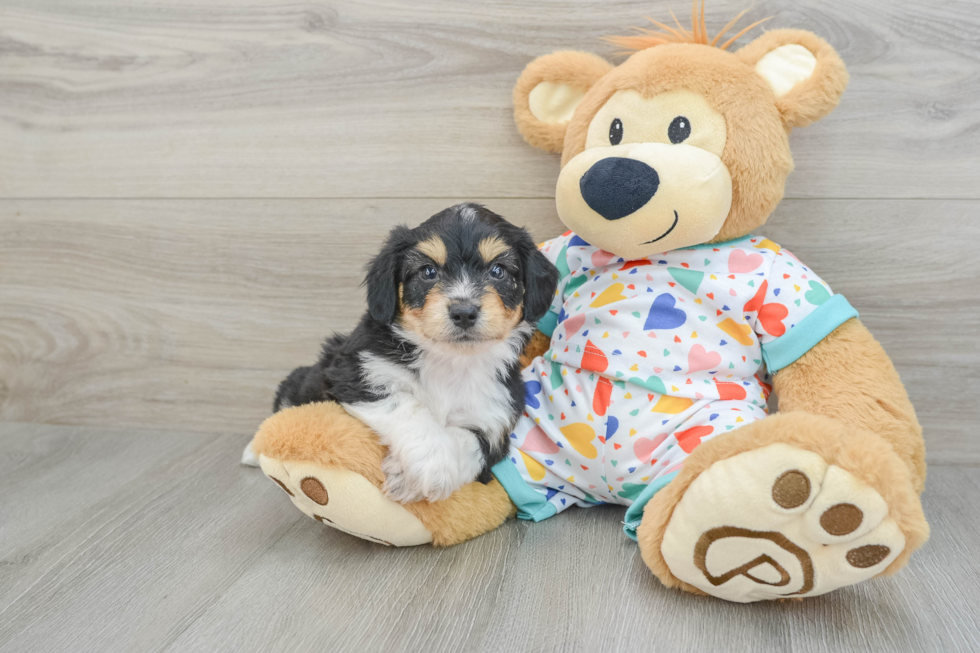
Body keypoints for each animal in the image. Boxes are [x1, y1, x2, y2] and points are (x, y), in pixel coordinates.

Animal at [251, 204, 560, 504]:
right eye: (428, 272)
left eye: (498, 271)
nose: (464, 312)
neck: (450, 361)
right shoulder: (357, 371)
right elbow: (406, 406)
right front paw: (430, 464)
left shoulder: (496, 418)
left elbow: (468, 443)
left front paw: (409, 480)